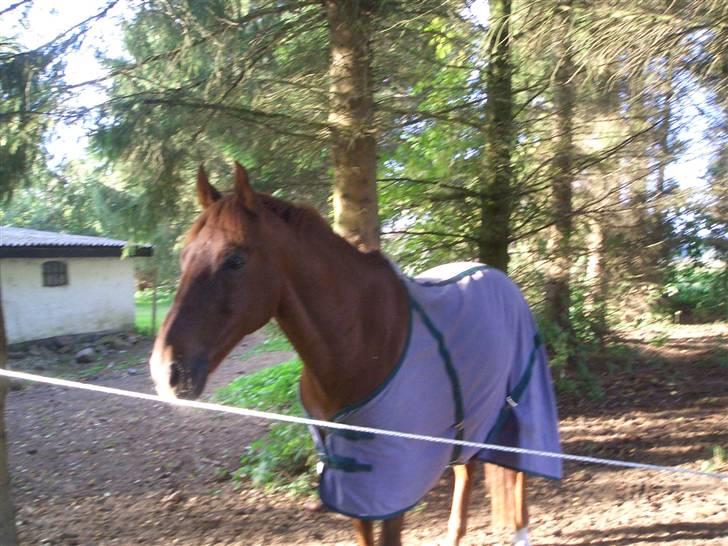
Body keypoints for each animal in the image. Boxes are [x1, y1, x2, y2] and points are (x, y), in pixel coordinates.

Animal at [150, 162, 561, 546]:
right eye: (185, 257)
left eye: (234, 260)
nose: (166, 370)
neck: (360, 343)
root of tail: (501, 279)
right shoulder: (354, 482)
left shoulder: (394, 480)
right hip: (467, 422)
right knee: (465, 479)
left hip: (517, 410)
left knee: (520, 475)